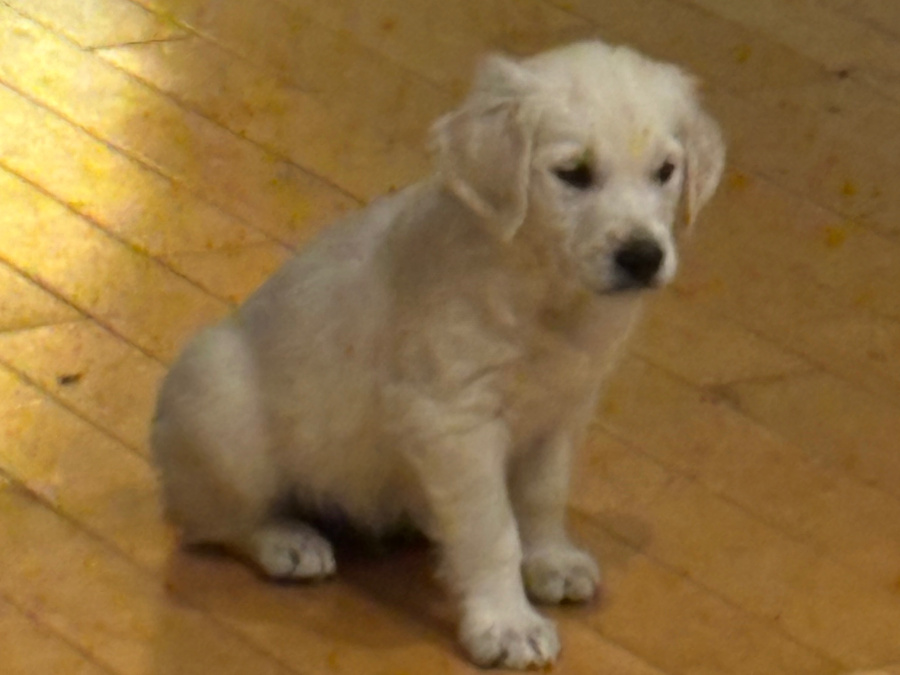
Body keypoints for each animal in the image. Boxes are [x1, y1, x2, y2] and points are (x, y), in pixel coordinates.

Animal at [149, 41, 724, 672]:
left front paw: (551, 559)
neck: (543, 288)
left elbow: (543, 493)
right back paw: (285, 540)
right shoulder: (452, 416)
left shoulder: (565, 406)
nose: (644, 257)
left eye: (665, 172)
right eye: (573, 174)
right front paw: (507, 623)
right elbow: (490, 529)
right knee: (207, 519)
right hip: (222, 411)